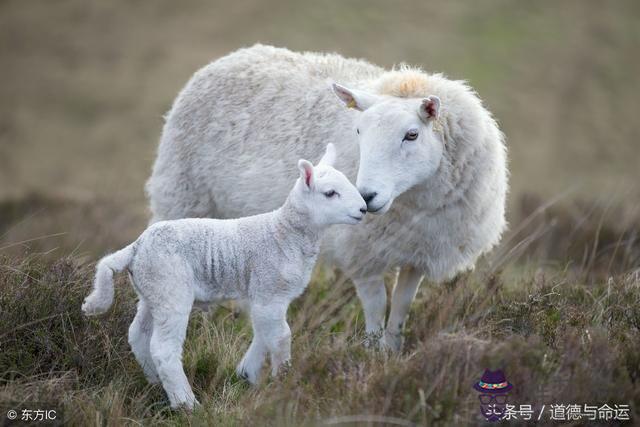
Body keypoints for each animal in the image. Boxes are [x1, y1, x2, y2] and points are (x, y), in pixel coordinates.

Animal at [82, 145, 368, 412]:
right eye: (330, 193)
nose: (363, 209)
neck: (284, 233)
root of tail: (136, 247)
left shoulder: (266, 296)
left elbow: (264, 333)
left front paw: (247, 374)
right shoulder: (269, 290)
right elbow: (281, 336)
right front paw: (284, 382)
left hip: (151, 290)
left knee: (138, 335)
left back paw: (154, 383)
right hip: (171, 289)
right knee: (164, 349)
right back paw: (187, 404)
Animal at [146, 44, 510, 352]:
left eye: (412, 135)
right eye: (359, 131)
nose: (366, 197)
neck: (415, 201)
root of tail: (233, 56)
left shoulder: (418, 252)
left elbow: (401, 307)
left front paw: (393, 352)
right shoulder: (362, 253)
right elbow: (376, 307)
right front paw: (373, 354)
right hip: (182, 196)